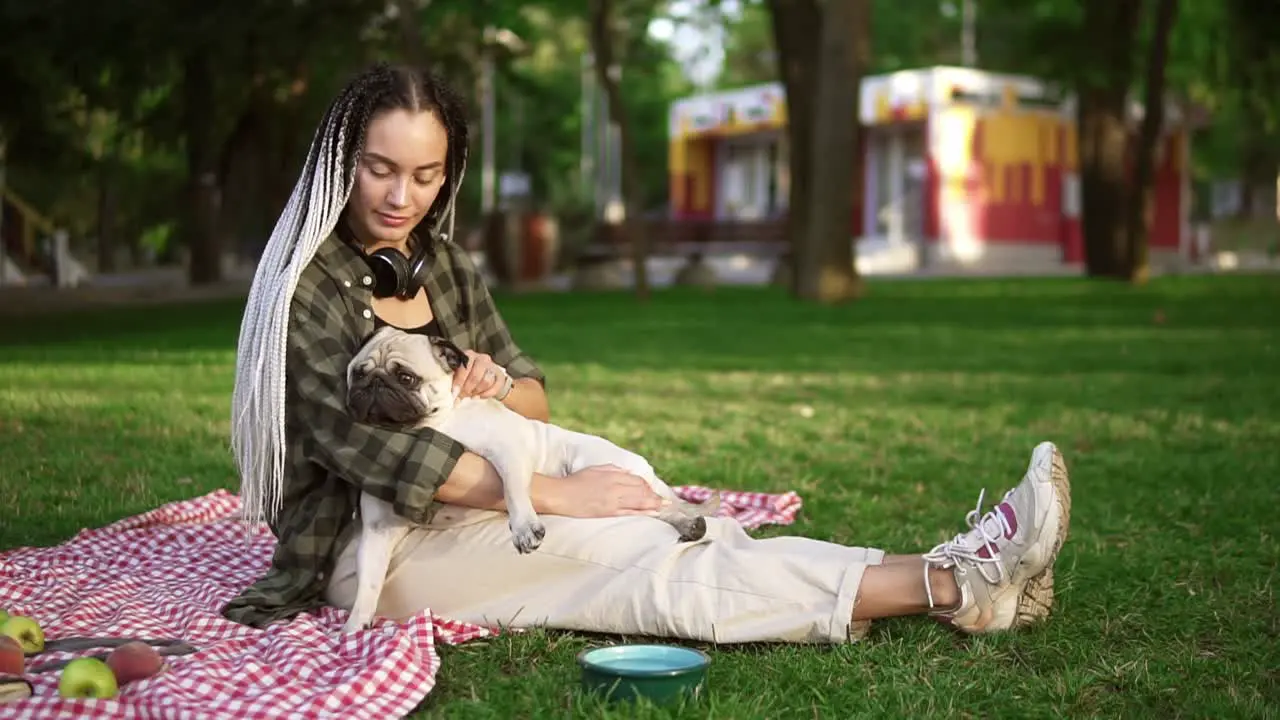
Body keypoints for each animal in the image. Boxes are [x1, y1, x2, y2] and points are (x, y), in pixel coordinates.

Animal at [340, 322, 721, 630]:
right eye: (358, 373)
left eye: (406, 377)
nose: (373, 385)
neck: (433, 425)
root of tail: (644, 465)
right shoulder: (378, 530)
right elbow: (368, 582)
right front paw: (355, 628)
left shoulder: (508, 450)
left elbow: (513, 490)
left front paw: (524, 528)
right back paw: (691, 525)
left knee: (661, 506)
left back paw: (690, 524)